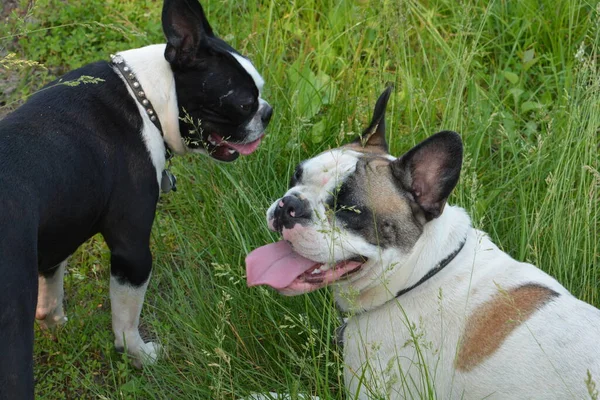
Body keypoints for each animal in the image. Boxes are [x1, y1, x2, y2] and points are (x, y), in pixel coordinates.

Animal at [0, 0, 270, 396]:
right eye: (243, 103)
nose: (268, 112)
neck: (147, 101)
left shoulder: (57, 229)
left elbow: (51, 287)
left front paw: (55, 323)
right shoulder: (133, 253)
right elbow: (125, 322)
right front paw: (140, 355)